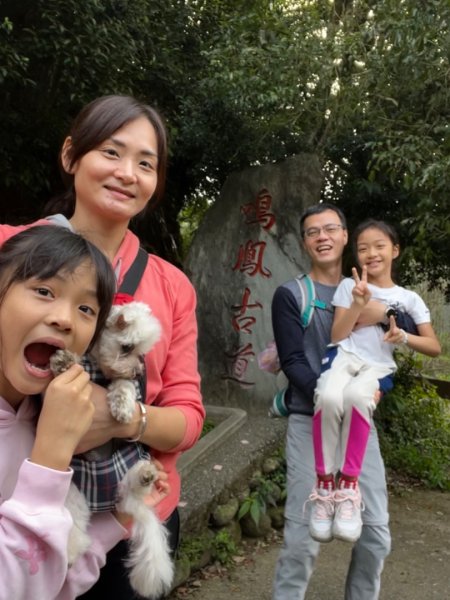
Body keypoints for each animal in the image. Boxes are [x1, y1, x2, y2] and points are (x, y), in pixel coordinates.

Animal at [50, 302, 174, 596]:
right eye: (127, 347)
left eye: (143, 353)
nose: (139, 372)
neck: (97, 367)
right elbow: (76, 367)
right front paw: (64, 361)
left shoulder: (121, 381)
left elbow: (123, 386)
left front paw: (123, 407)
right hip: (72, 491)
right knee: (77, 528)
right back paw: (70, 552)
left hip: (130, 467)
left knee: (136, 485)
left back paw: (145, 476)